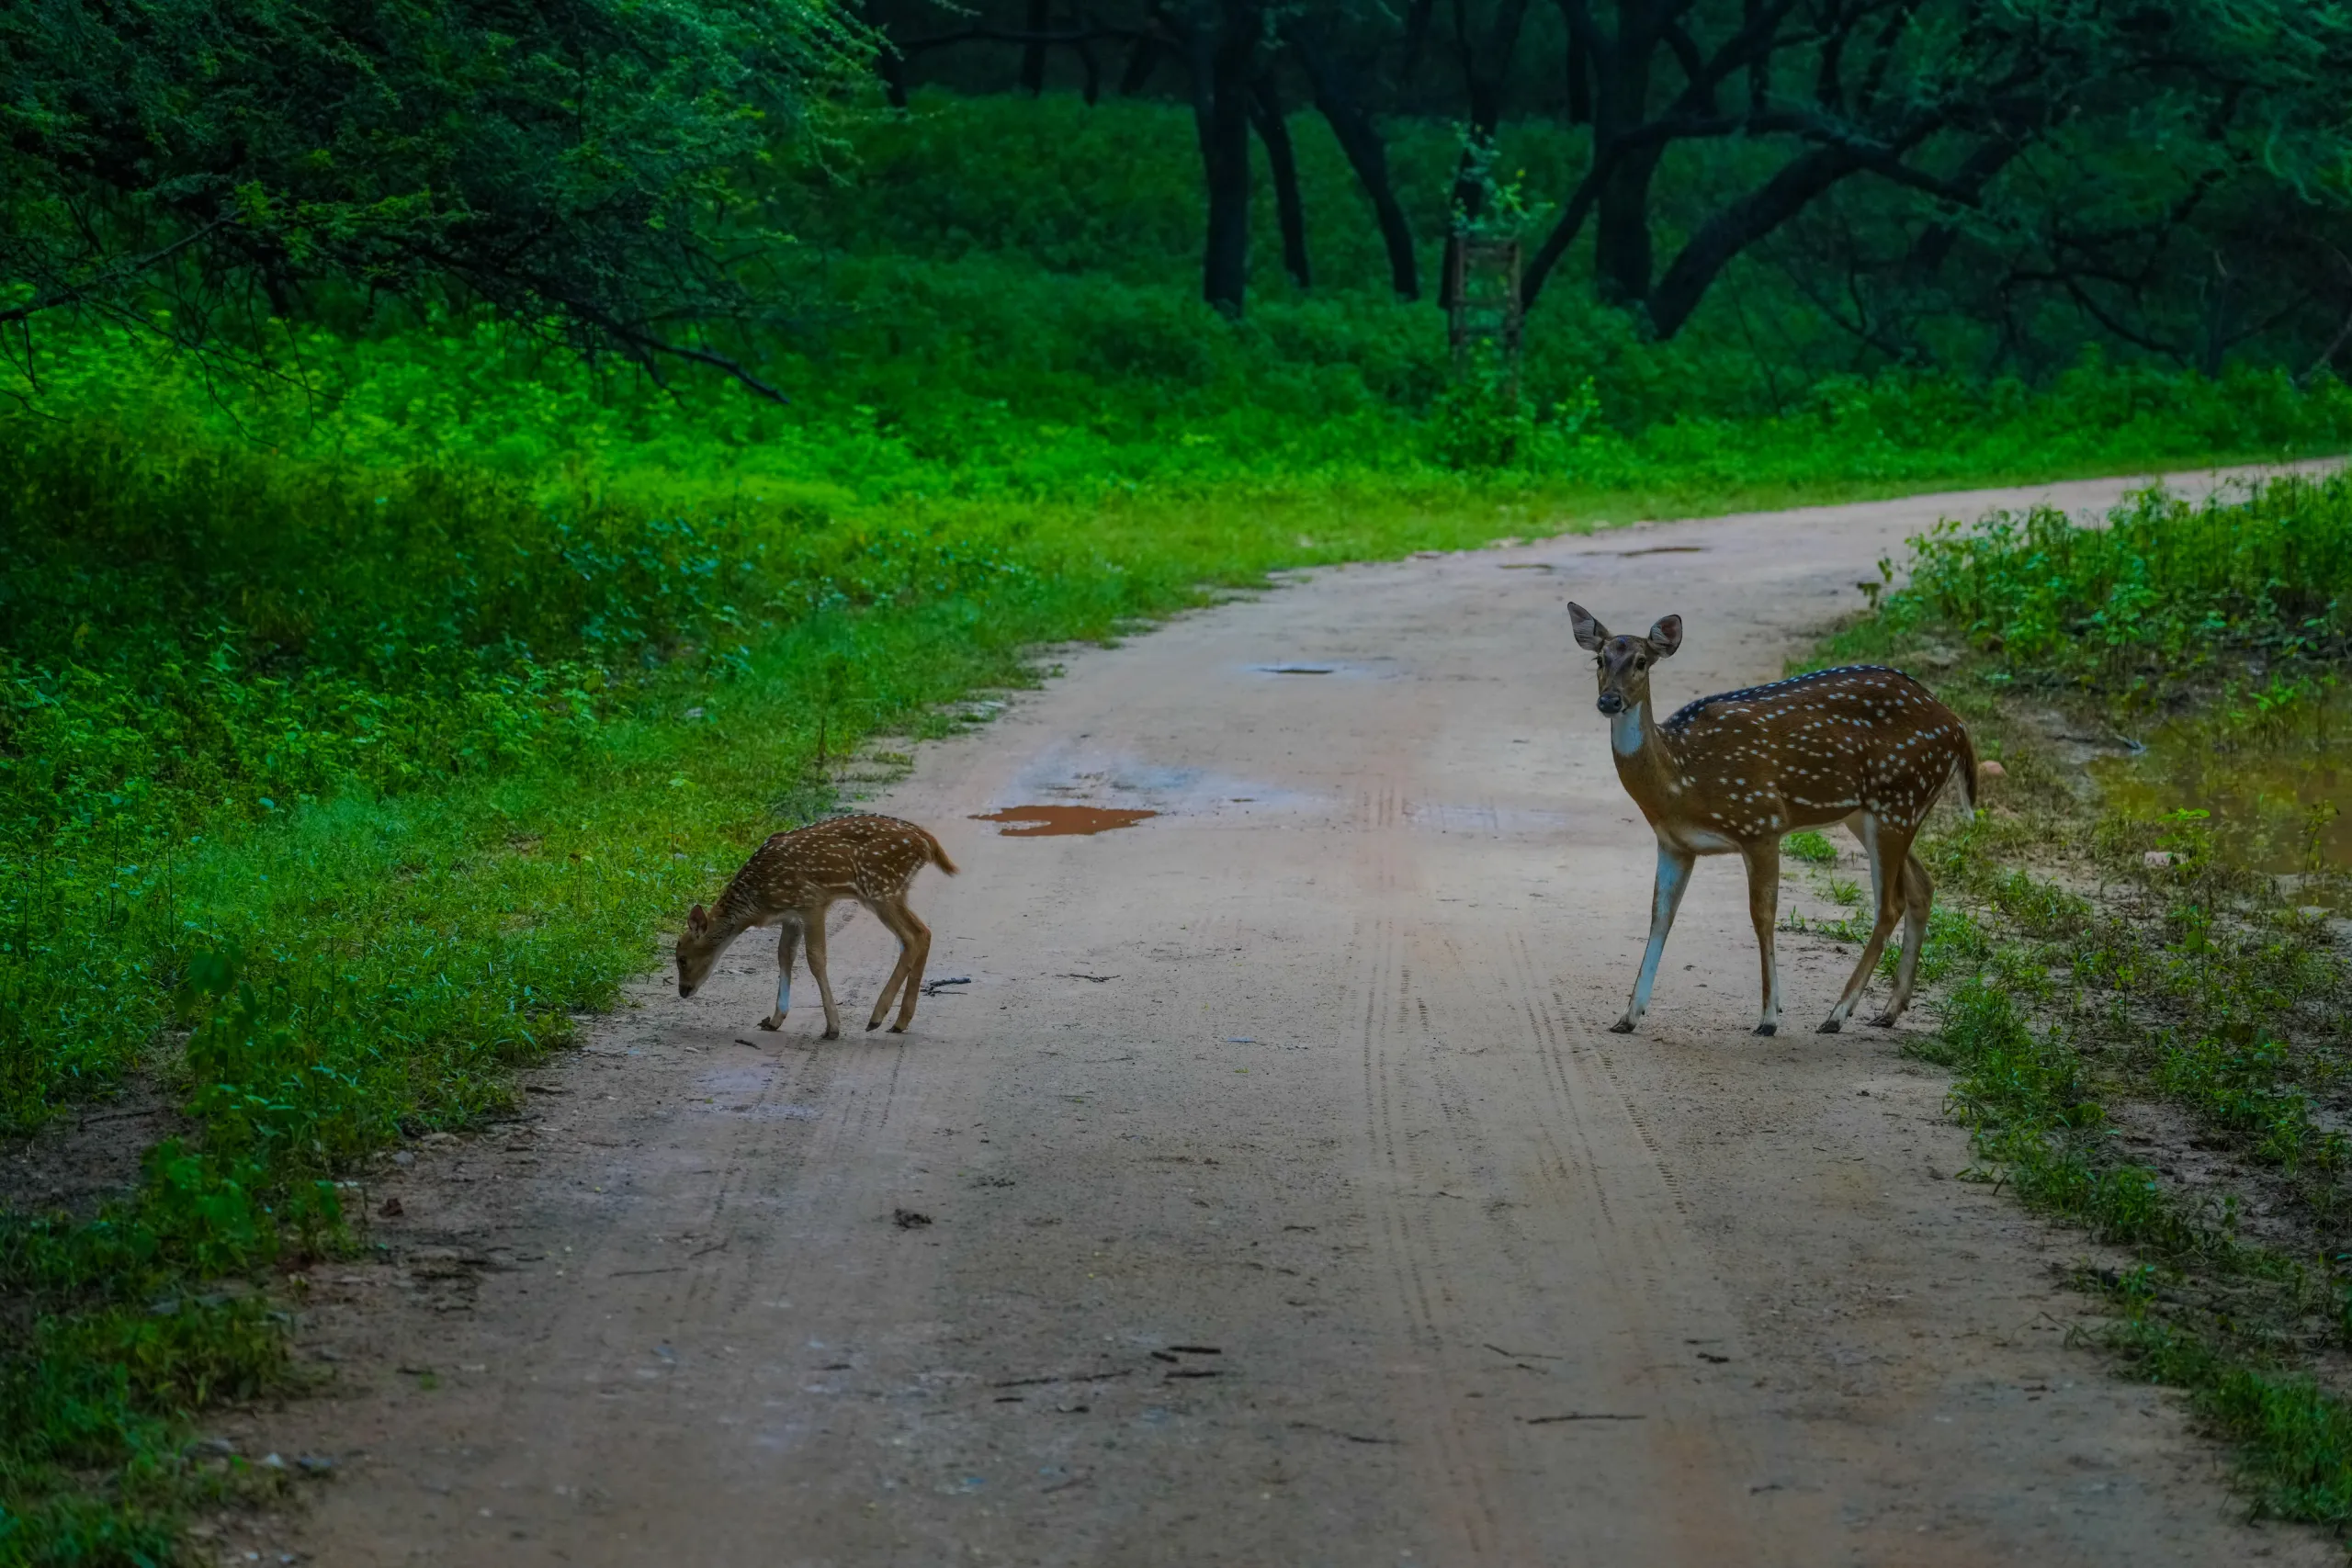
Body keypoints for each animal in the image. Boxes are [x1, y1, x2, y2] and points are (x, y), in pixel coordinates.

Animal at [675, 814, 959, 1040]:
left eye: (682, 959)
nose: (683, 991)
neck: (759, 900)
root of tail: (927, 841)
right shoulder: (790, 917)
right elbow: (785, 956)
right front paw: (774, 1020)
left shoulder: (812, 902)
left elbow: (815, 958)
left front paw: (832, 1028)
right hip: (894, 890)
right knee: (923, 933)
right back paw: (900, 1022)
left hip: (880, 888)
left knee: (912, 937)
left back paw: (876, 1018)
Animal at [1567, 603, 1978, 1039]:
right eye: (1600, 659)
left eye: (1642, 661)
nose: (1610, 700)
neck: (1681, 779)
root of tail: (1957, 727)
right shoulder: (1675, 843)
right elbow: (1660, 917)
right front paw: (1628, 1015)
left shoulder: (1761, 822)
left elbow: (1762, 916)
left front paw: (1768, 1017)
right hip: (1875, 812)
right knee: (1922, 886)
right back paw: (1889, 1010)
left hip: (1898, 799)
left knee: (1890, 904)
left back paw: (1837, 1014)